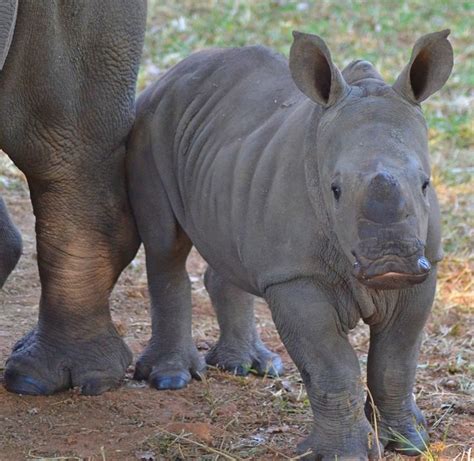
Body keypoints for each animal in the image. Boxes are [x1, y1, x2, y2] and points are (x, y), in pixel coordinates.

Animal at [128, 30, 454, 458]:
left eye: (426, 184)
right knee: (165, 247)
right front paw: (342, 453)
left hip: (228, 156)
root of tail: (168, 74)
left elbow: (395, 363)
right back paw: (171, 379)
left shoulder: (426, 266)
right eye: (335, 189)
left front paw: (408, 443)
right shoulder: (294, 275)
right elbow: (331, 368)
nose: (391, 263)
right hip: (151, 122)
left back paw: (250, 366)